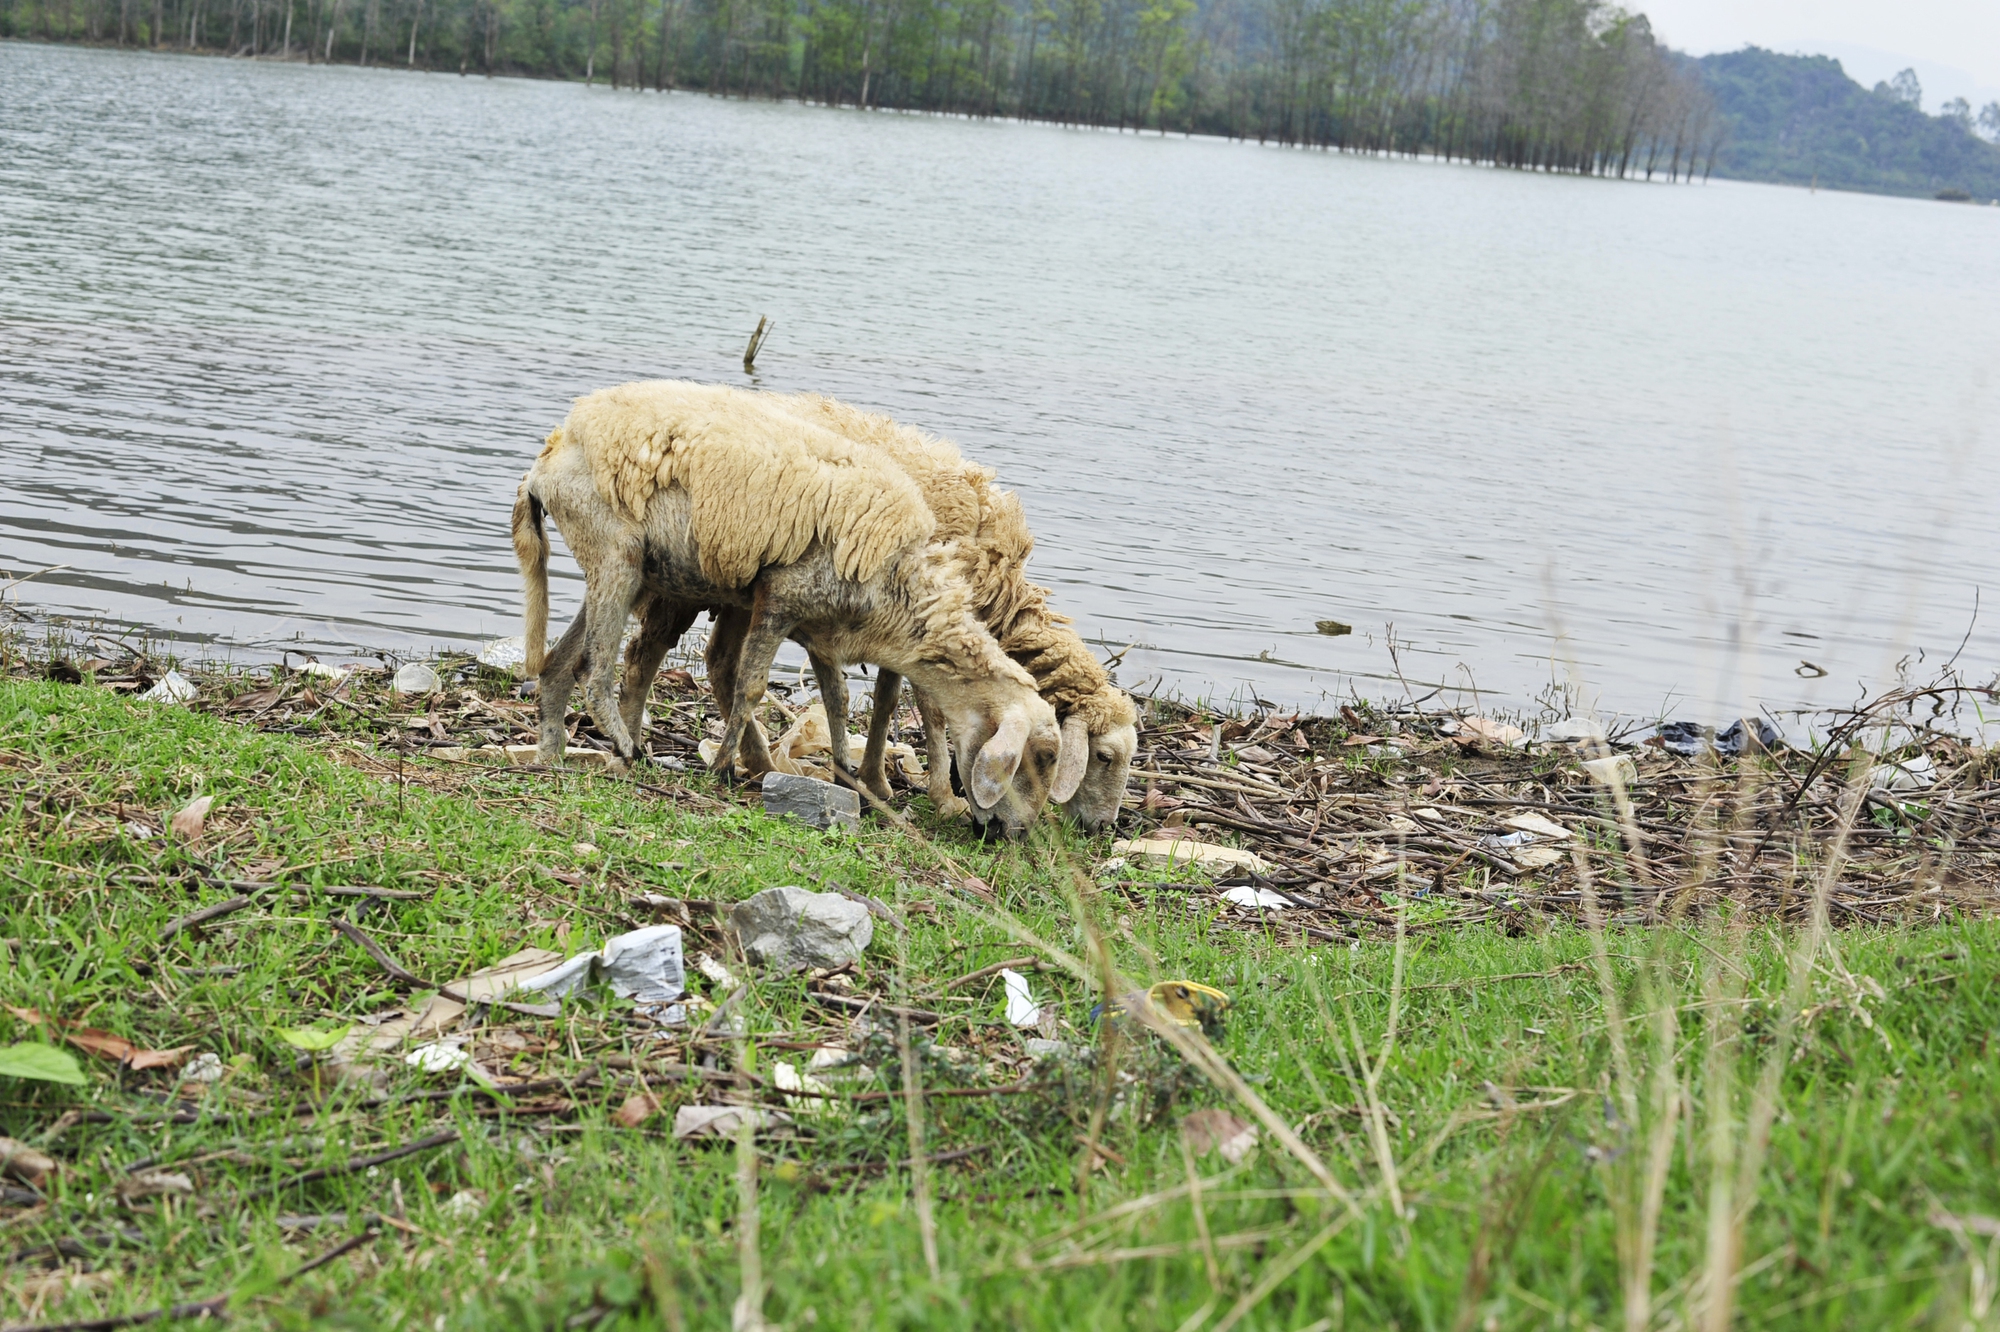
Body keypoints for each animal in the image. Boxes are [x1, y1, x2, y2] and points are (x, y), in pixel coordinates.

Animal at [508, 378, 1064, 836]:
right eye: (1044, 755)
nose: (1015, 835)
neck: (902, 592)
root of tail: (548, 456)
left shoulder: (823, 626)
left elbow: (838, 699)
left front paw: (849, 779)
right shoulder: (780, 600)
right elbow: (751, 686)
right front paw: (722, 768)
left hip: (626, 566)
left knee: (559, 663)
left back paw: (552, 754)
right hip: (614, 553)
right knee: (596, 669)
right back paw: (627, 748)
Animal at [760, 386, 1144, 832]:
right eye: (1105, 756)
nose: (1104, 826)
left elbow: (887, 699)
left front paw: (878, 781)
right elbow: (932, 710)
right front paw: (943, 795)